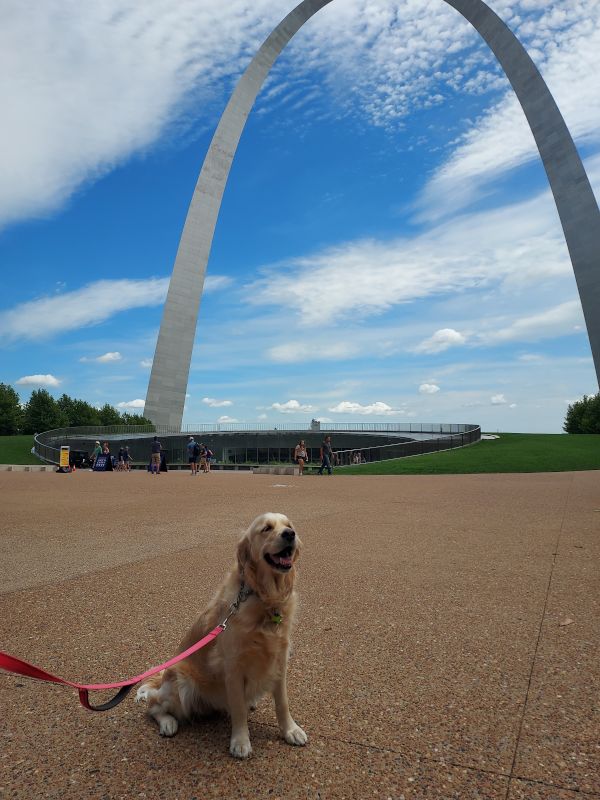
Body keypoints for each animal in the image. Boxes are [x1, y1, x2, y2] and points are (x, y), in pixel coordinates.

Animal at [135, 512, 304, 756]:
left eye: (289, 525)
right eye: (266, 529)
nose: (290, 534)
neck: (263, 598)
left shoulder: (279, 660)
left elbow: (282, 702)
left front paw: (291, 730)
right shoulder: (233, 666)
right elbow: (238, 709)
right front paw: (241, 741)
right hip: (183, 686)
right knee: (153, 705)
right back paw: (168, 723)